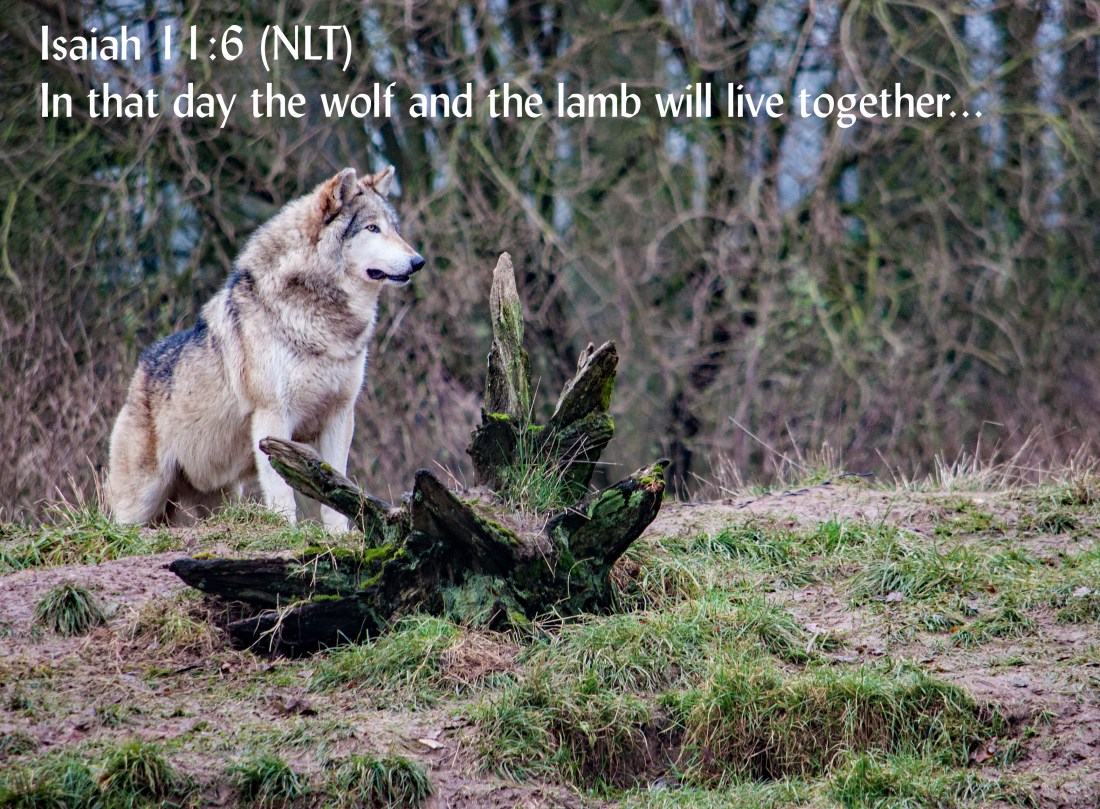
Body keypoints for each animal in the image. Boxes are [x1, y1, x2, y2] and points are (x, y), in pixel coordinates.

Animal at [107, 166, 424, 529]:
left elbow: (335, 488)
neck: (322, 321)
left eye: (394, 229)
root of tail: (139, 371)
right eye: (372, 228)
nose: (418, 261)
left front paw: (338, 535)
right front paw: (289, 530)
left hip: (218, 498)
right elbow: (283, 493)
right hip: (141, 501)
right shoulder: (271, 417)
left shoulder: (340, 415)